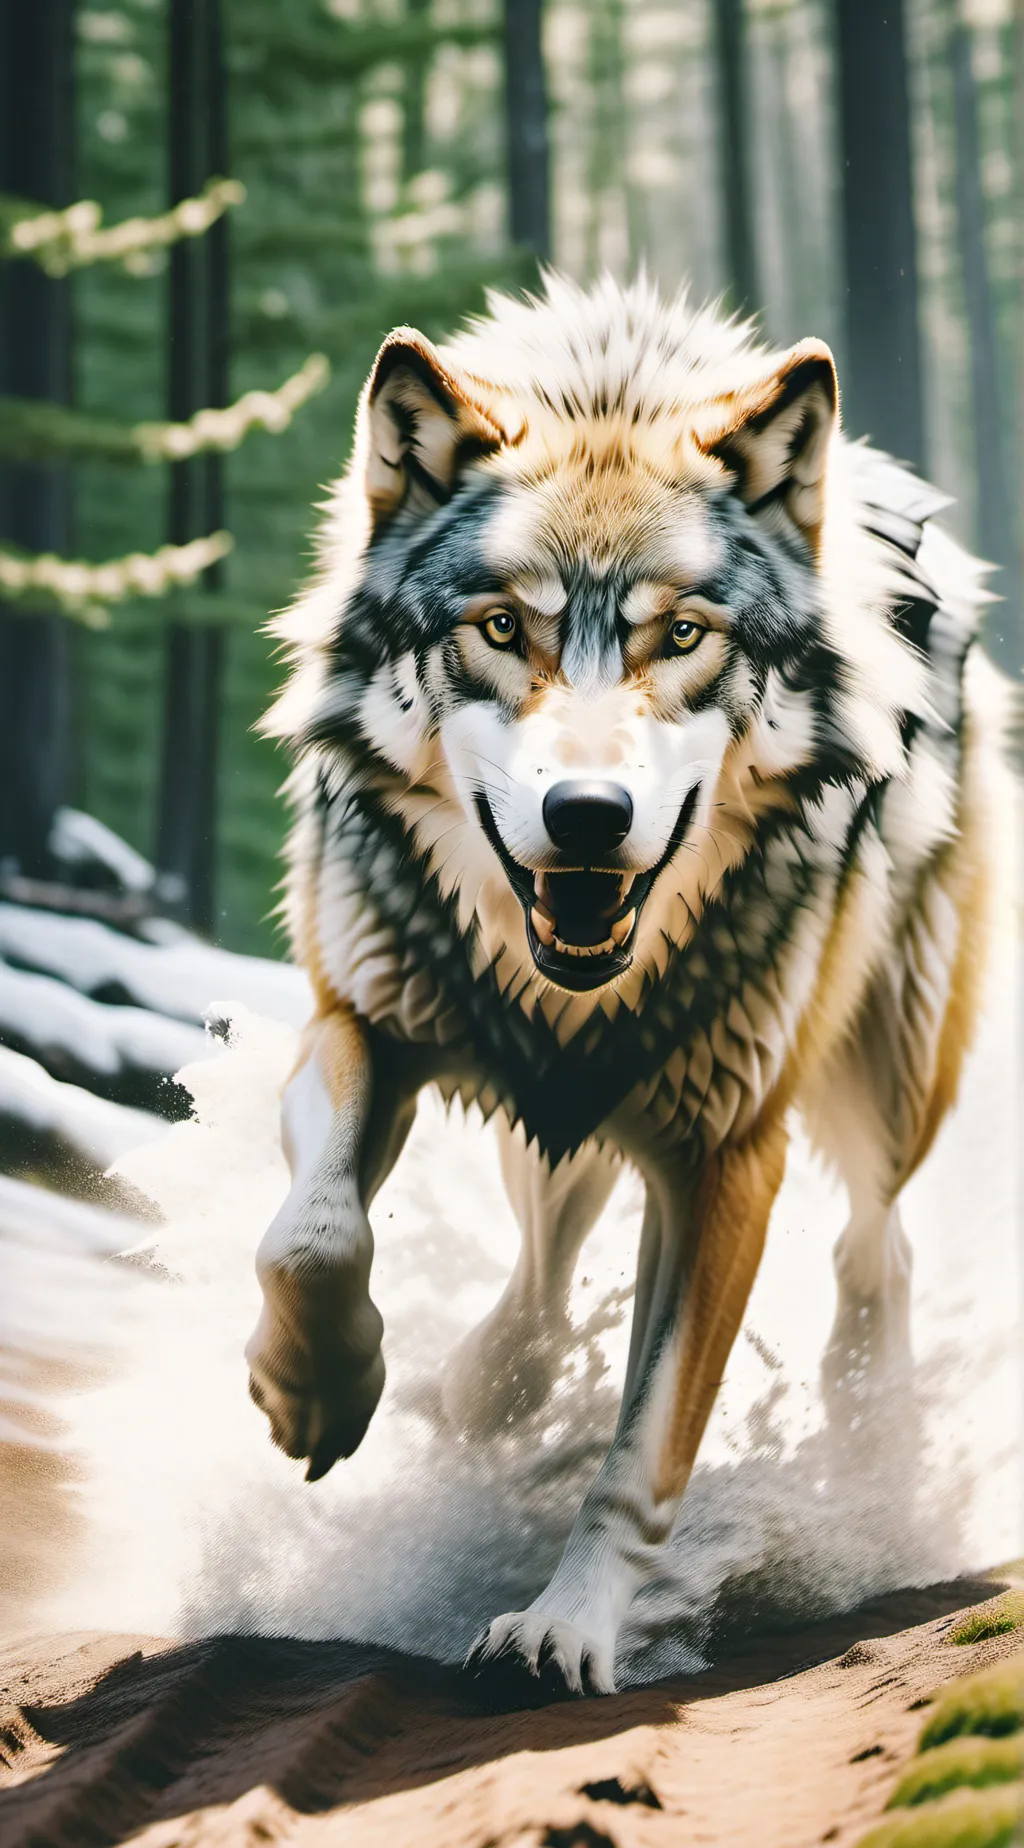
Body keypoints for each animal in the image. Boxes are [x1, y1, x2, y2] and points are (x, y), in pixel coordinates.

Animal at [246, 274, 1005, 1699]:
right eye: (501, 628)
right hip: (558, 1107)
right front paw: (315, 1390)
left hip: (887, 1077)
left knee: (876, 1242)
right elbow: (311, 1235)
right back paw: (480, 1384)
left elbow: (646, 1449)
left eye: (683, 636)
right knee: (548, 1258)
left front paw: (571, 1627)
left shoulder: (728, 1155)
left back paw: (866, 1430)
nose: (588, 817)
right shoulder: (361, 1017)